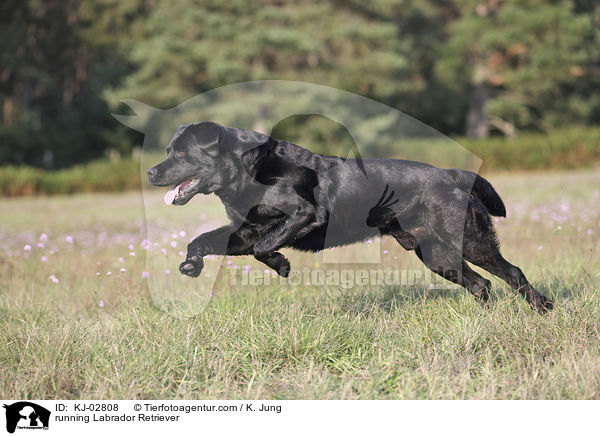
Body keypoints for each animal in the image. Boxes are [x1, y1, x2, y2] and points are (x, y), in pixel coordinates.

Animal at [146, 122, 552, 312]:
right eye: (167, 149)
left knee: (512, 273)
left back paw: (544, 310)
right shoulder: (244, 231)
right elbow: (202, 240)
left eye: (180, 152)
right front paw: (191, 264)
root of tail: (455, 174)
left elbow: (265, 247)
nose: (150, 172)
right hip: (437, 255)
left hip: (470, 241)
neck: (248, 171)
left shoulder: (306, 215)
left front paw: (281, 264)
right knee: (481, 285)